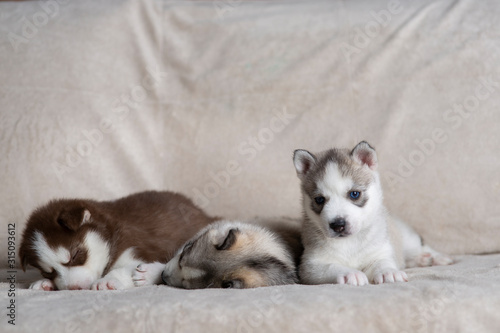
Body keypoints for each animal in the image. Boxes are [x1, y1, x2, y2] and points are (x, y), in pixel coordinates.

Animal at [19, 191, 215, 290]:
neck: (112, 236)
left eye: (75, 255)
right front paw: (43, 283)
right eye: (47, 272)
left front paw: (108, 280)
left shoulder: (140, 248)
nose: (73, 288)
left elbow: (129, 267)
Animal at [292, 141, 454, 286]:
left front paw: (389, 272)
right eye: (319, 199)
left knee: (420, 248)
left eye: (354, 194)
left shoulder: (381, 251)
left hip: (407, 238)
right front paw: (351, 273)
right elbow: (331, 267)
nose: (338, 225)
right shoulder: (311, 266)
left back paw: (436, 258)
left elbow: (382, 262)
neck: (350, 242)